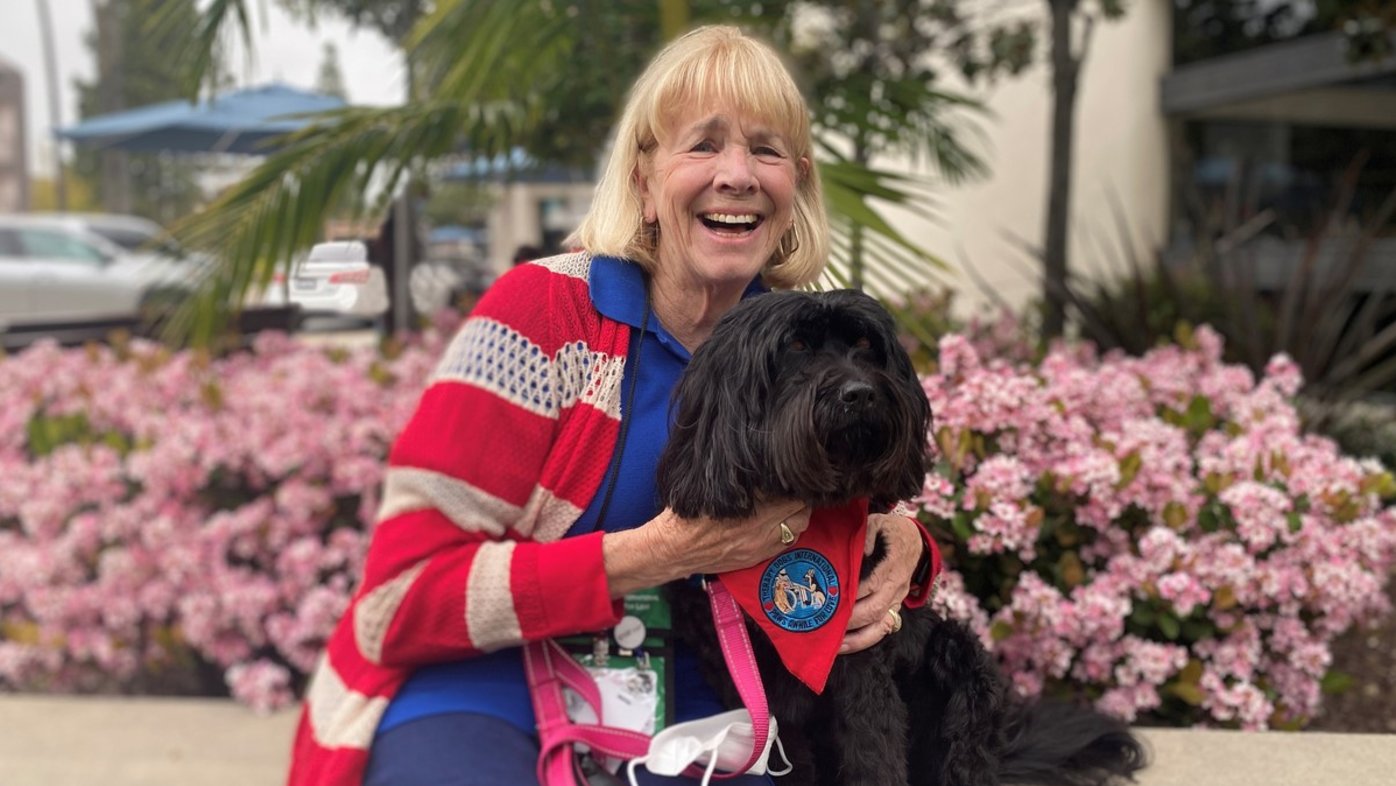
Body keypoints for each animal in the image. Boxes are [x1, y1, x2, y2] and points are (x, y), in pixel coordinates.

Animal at [653, 290, 1144, 786]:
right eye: (794, 345)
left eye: (865, 344)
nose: (859, 393)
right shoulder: (755, 691)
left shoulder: (862, 658)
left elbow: (873, 748)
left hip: (962, 666)